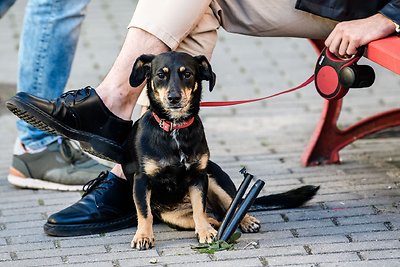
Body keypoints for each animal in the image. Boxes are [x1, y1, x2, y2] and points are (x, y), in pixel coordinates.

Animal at [122, 52, 318, 251]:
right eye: (161, 75)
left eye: (187, 74)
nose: (174, 98)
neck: (175, 128)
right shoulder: (142, 180)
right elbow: (145, 212)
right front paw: (143, 236)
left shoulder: (199, 176)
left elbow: (199, 209)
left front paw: (205, 233)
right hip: (176, 218)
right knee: (217, 218)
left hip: (215, 178)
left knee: (232, 207)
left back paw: (244, 221)